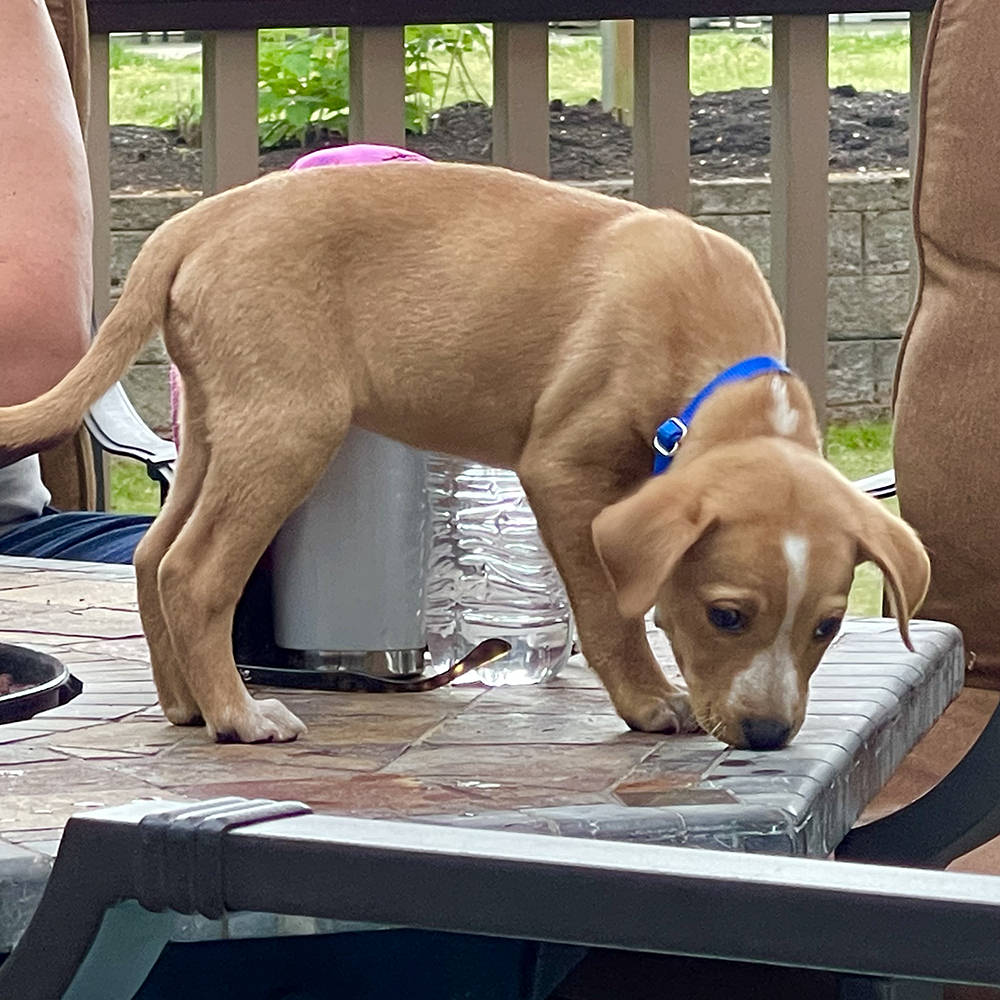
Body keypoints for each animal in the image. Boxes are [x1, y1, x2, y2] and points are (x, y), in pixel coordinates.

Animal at [0, 164, 928, 748]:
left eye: (828, 627)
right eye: (726, 615)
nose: (769, 737)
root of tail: (202, 217)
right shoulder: (562, 469)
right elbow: (608, 608)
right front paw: (646, 701)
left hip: (220, 425)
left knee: (153, 553)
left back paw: (186, 705)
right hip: (288, 426)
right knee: (193, 571)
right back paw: (240, 716)